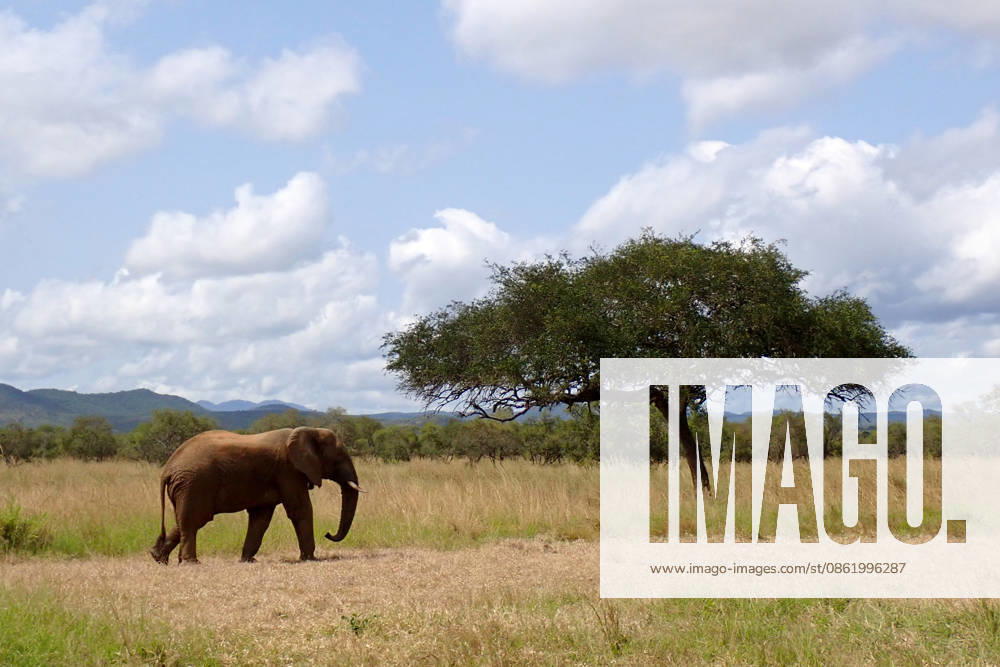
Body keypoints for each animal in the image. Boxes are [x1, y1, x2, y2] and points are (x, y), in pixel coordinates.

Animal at [149, 426, 364, 564]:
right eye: (338, 459)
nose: (328, 533)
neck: (309, 430)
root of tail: (168, 468)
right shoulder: (288, 470)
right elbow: (300, 509)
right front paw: (310, 559)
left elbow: (261, 518)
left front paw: (248, 560)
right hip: (195, 483)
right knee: (194, 520)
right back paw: (191, 563)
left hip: (187, 486)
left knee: (184, 521)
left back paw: (158, 558)